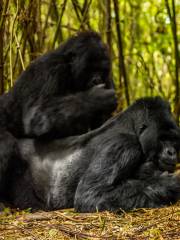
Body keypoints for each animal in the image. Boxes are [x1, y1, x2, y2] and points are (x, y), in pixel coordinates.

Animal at [1, 95, 180, 212]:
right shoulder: (122, 145)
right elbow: (90, 194)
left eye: (174, 139)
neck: (132, 127)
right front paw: (169, 184)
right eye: (162, 138)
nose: (172, 152)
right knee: (7, 142)